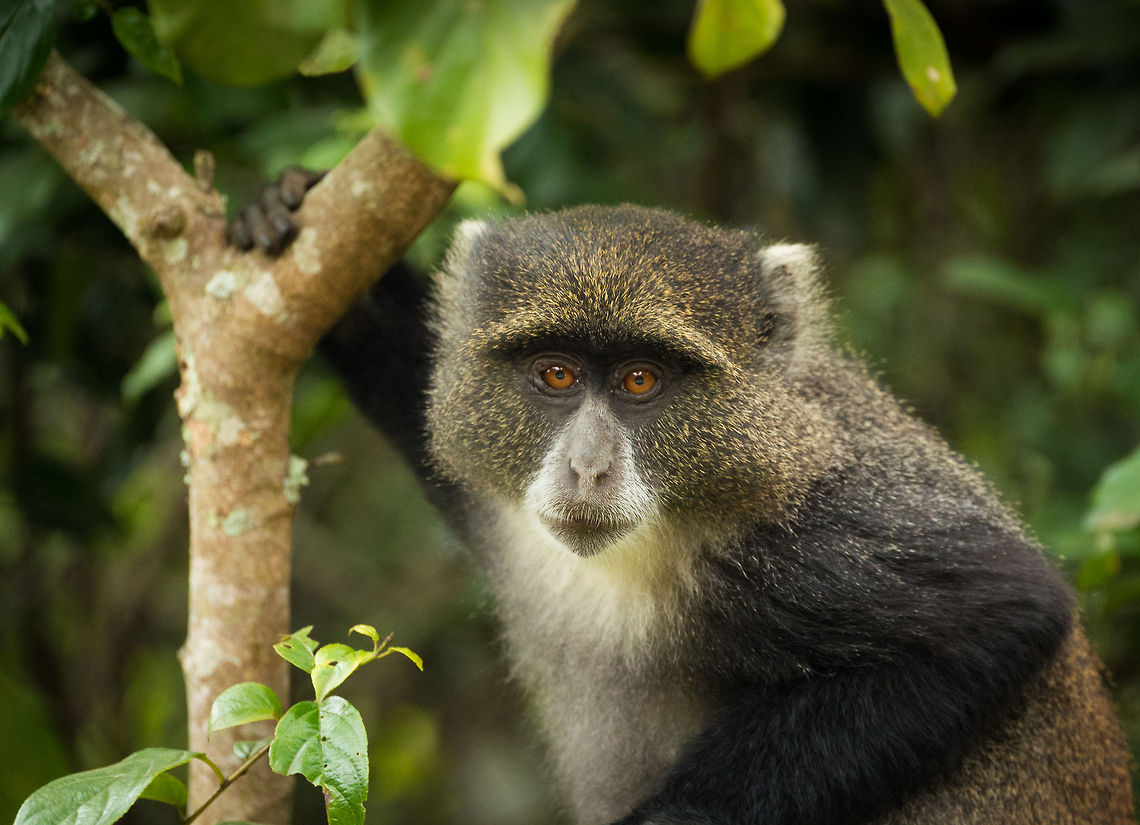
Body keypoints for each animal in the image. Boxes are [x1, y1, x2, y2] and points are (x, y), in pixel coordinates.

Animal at [232, 184, 1134, 825]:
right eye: (556, 372)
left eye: (641, 379)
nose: (588, 467)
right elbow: (417, 377)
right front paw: (288, 214)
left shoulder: (816, 538)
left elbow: (1003, 610)